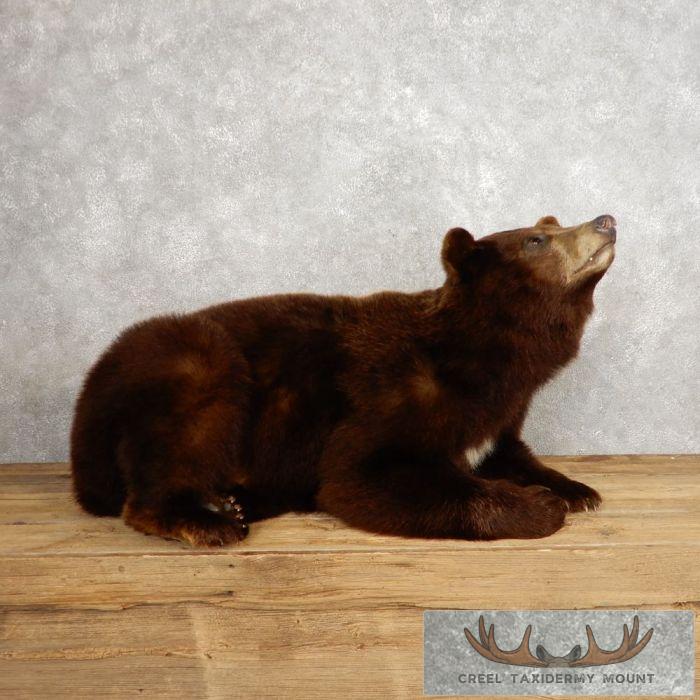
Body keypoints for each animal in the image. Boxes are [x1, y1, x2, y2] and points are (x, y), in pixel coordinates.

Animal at [70, 214, 617, 546]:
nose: (605, 221)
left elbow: (508, 450)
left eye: (548, 225)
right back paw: (208, 520)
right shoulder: (392, 393)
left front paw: (574, 489)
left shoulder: (500, 411)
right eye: (536, 239)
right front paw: (539, 505)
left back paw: (236, 502)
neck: (487, 358)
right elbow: (362, 475)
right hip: (190, 361)